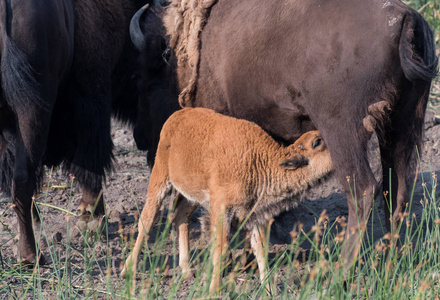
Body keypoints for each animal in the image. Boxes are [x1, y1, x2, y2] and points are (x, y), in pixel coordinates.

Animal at [0, 0, 145, 264]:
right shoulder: (91, 94)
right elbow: (90, 159)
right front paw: (92, 218)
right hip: (33, 110)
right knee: (23, 178)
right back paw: (32, 256)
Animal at [121, 108, 334, 292]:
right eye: (317, 142)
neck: (258, 162)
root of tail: (179, 114)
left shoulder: (256, 216)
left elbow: (261, 250)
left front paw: (269, 289)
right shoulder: (222, 210)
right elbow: (221, 250)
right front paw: (213, 290)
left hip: (193, 193)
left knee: (181, 216)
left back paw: (187, 270)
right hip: (160, 176)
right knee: (148, 218)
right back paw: (127, 270)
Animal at [132, 0, 438, 268]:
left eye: (148, 78)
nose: (140, 138)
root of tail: (404, 18)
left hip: (343, 131)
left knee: (362, 189)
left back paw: (341, 271)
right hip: (403, 127)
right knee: (397, 190)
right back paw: (391, 262)